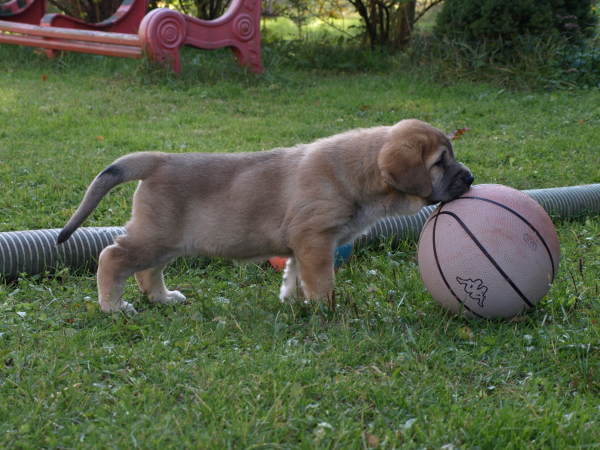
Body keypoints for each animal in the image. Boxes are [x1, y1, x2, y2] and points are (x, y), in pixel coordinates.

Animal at [59, 121, 474, 314]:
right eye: (440, 162)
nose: (470, 178)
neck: (361, 172)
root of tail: (158, 160)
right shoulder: (315, 239)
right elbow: (321, 281)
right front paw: (327, 310)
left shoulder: (304, 245)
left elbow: (295, 275)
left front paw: (293, 301)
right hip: (153, 238)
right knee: (112, 257)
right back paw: (113, 307)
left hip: (167, 242)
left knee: (147, 273)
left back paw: (163, 299)